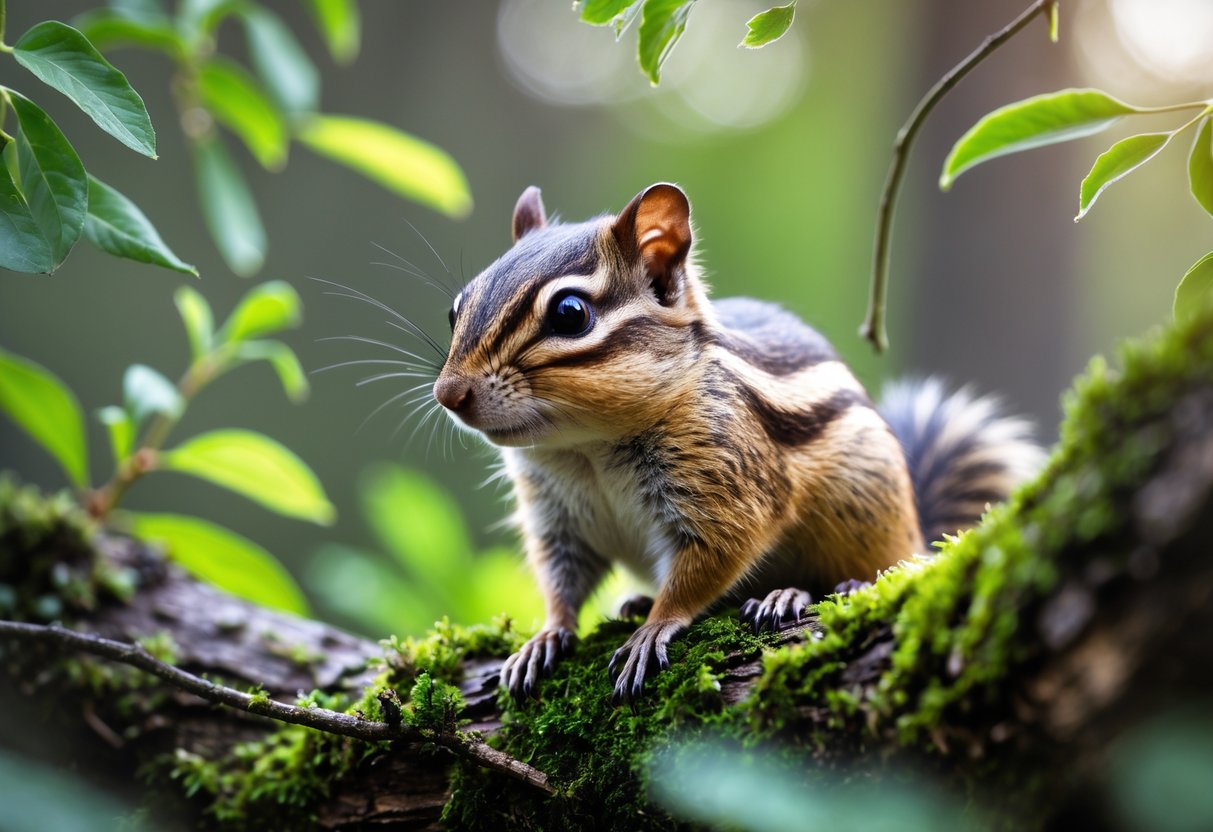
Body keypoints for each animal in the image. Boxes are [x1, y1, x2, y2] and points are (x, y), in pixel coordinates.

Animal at [432, 183, 1044, 704]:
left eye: (570, 314)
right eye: (456, 308)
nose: (448, 393)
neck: (588, 448)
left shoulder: (727, 481)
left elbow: (711, 560)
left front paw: (655, 626)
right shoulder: (556, 518)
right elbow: (561, 580)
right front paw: (544, 637)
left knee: (886, 565)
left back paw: (796, 593)